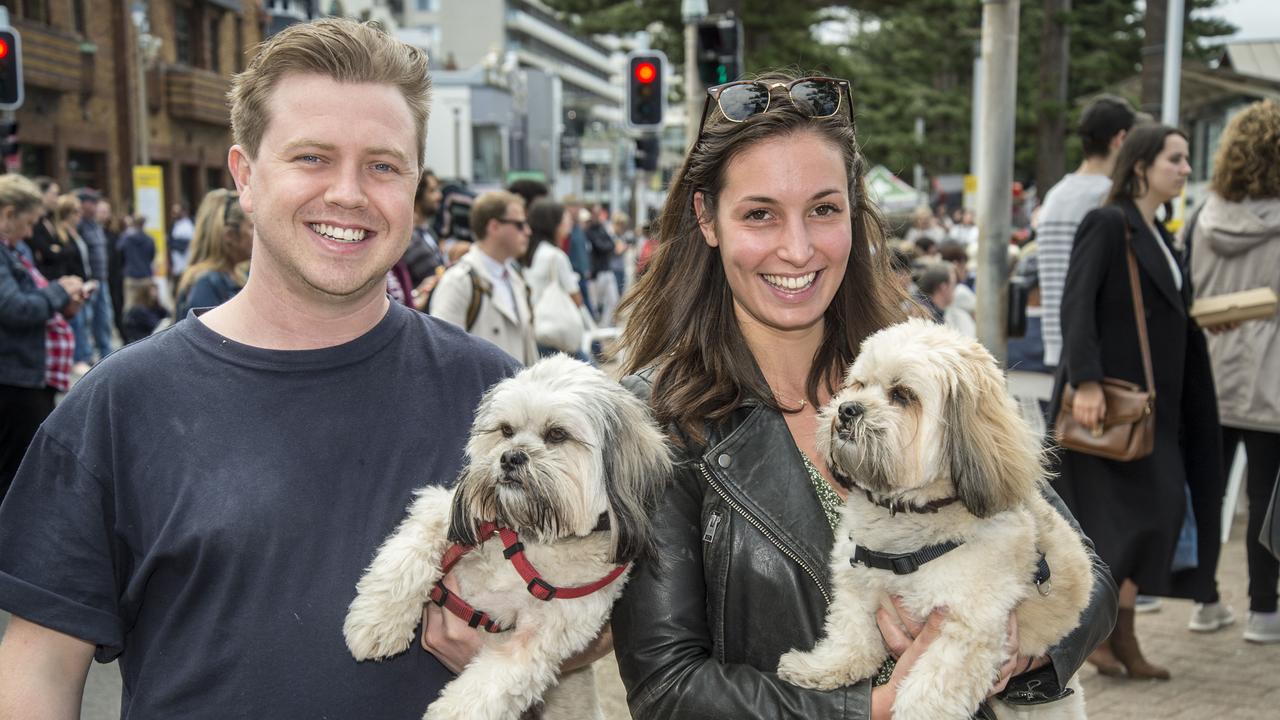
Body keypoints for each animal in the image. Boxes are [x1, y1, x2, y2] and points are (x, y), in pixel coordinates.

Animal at [345, 353, 675, 717]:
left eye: (557, 434)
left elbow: (488, 686)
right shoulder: (447, 509)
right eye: (506, 430)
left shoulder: (543, 638)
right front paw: (377, 621)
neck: (530, 539)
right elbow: (408, 553)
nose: (510, 456)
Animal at [773, 319, 1095, 717]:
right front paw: (820, 668)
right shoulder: (857, 583)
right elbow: (851, 637)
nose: (847, 409)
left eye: (902, 395)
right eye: (858, 385)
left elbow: (927, 691)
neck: (904, 533)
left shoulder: (967, 629)